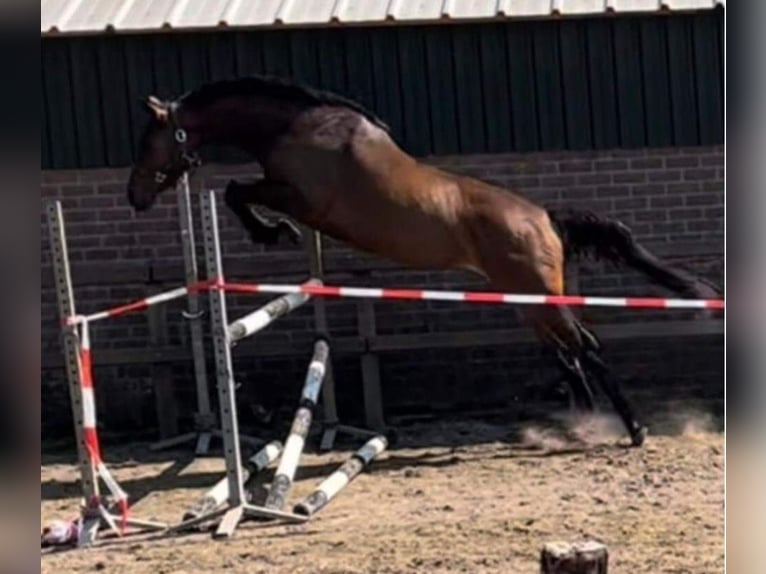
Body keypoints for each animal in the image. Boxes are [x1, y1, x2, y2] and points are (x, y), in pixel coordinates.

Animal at [124, 74, 720, 448]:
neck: (298, 126)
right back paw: (586, 424)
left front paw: (272, 232)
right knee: (568, 356)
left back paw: (633, 430)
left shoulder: (300, 197)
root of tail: (546, 218)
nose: (135, 197)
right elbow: (237, 191)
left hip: (540, 298)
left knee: (586, 349)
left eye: (149, 142)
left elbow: (236, 191)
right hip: (526, 302)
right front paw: (273, 232)